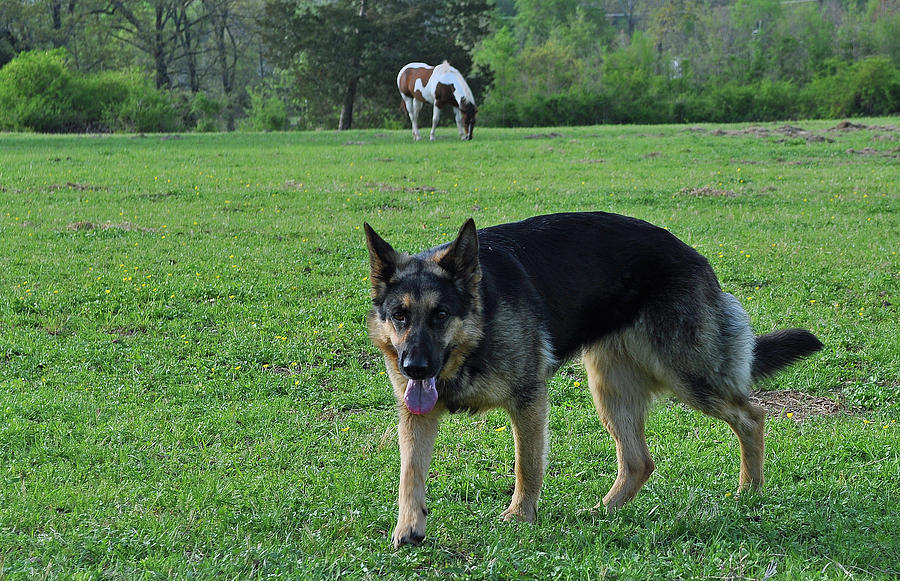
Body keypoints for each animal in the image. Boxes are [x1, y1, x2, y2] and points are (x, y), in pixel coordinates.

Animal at [364, 211, 824, 548]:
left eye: (440, 314)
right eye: (400, 316)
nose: (414, 367)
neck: (477, 331)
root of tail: (694, 257)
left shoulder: (529, 401)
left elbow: (527, 466)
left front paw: (520, 516)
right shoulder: (416, 413)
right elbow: (410, 473)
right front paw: (408, 527)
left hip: (688, 376)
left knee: (752, 416)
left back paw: (749, 492)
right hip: (609, 387)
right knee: (639, 461)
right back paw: (605, 511)